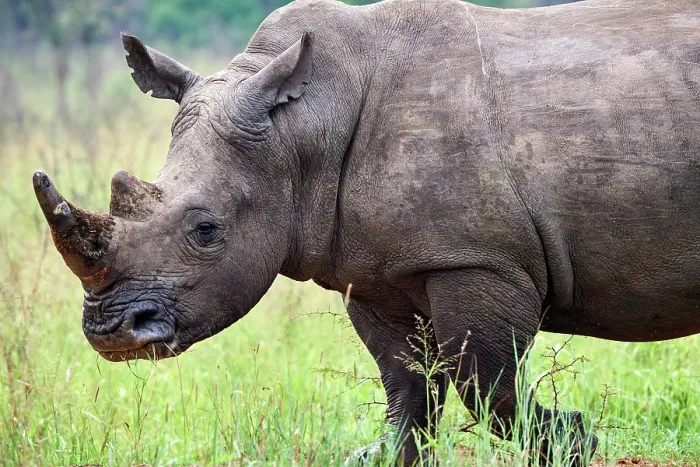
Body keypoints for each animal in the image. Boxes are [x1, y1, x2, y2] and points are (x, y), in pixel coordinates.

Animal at [33, 0, 700, 464]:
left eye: (206, 230)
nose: (112, 334)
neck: (301, 128)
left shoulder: (476, 259)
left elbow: (485, 380)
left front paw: (573, 442)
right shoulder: (378, 270)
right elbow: (406, 385)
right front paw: (380, 456)